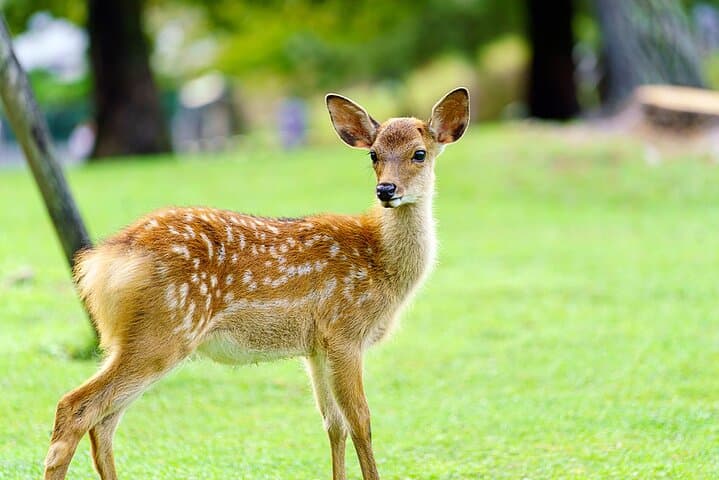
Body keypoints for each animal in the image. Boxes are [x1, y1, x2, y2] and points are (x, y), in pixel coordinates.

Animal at [43, 87, 470, 480]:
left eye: (419, 153)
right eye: (374, 155)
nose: (386, 191)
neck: (381, 262)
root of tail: (101, 262)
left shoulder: (315, 347)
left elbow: (333, 425)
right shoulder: (345, 332)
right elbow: (361, 421)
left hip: (131, 338)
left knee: (104, 421)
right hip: (165, 329)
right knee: (76, 407)